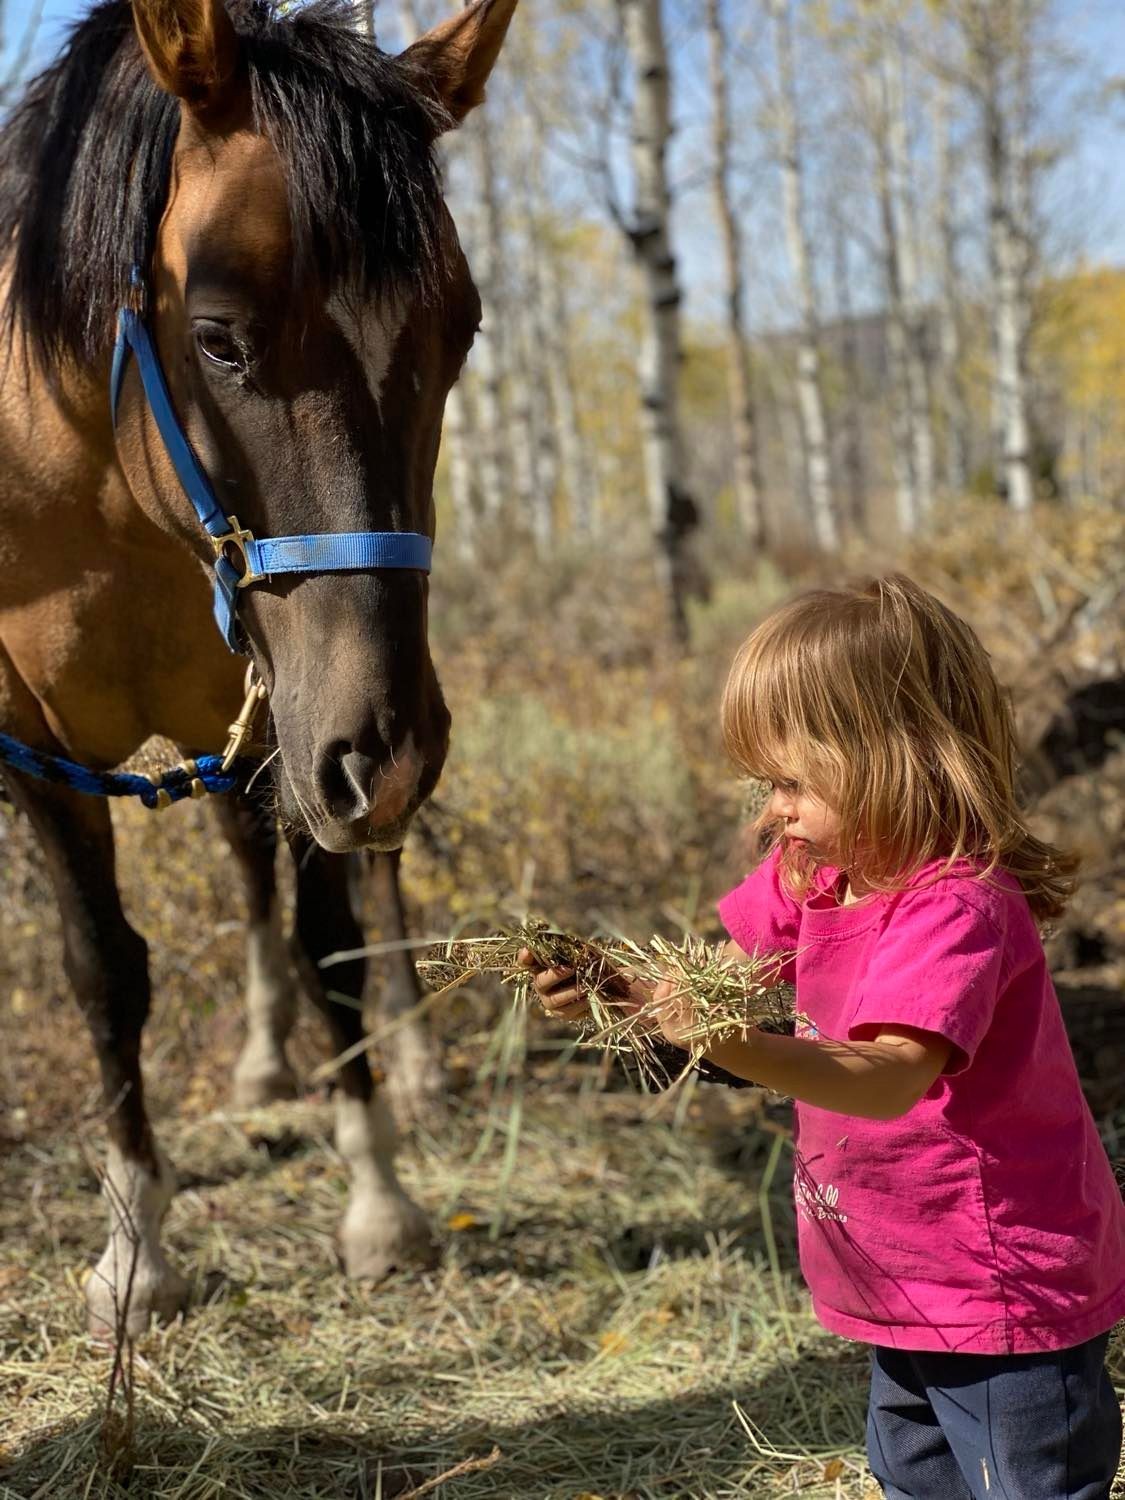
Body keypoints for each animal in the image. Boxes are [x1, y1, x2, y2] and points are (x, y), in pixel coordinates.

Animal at [0, 0, 519, 1338]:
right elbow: (102, 970)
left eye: (460, 334)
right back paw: (263, 1059)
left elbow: (331, 932)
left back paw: (413, 1058)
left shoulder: (303, 727)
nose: (392, 753)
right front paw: (136, 1248)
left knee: (367, 876)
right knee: (243, 872)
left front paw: (379, 1200)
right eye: (220, 339)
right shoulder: (39, 744)